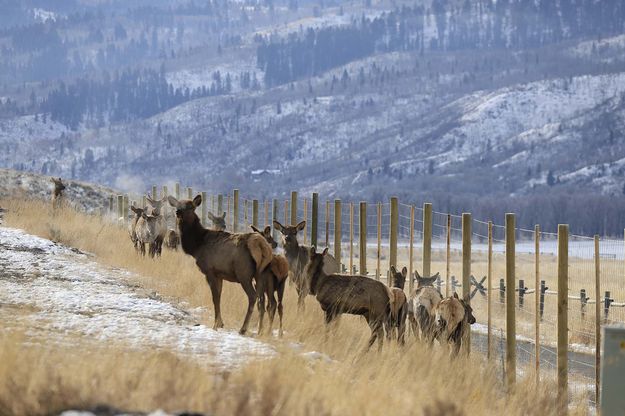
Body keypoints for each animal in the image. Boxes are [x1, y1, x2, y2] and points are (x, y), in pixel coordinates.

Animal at [167, 195, 272, 334]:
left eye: (190, 207)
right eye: (177, 205)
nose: (178, 212)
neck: (196, 246)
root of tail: (260, 244)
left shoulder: (210, 271)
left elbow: (215, 297)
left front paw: (216, 324)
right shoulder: (220, 274)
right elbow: (219, 296)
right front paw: (220, 323)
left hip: (244, 273)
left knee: (253, 296)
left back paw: (243, 329)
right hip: (261, 274)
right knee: (262, 300)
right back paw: (260, 331)